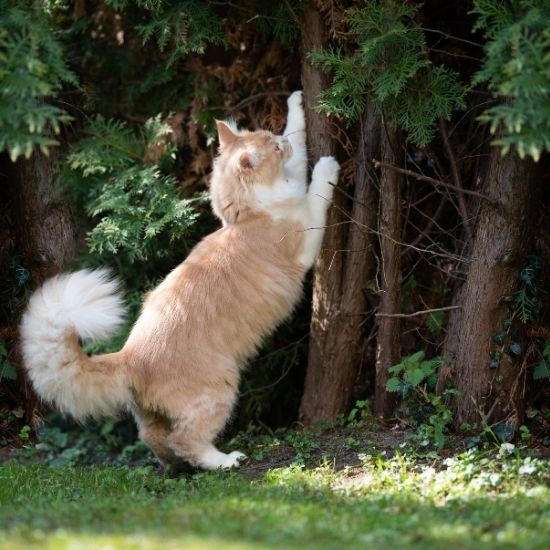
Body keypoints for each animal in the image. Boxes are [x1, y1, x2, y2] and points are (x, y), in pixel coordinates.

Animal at [20, 92, 340, 472]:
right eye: (274, 148)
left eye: (275, 138)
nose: (282, 143)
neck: (244, 217)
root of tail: (130, 356)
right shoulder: (305, 240)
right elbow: (316, 189)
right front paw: (328, 166)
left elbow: (300, 136)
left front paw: (295, 102)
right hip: (219, 390)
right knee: (187, 440)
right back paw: (224, 461)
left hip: (153, 416)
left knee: (155, 439)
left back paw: (175, 469)